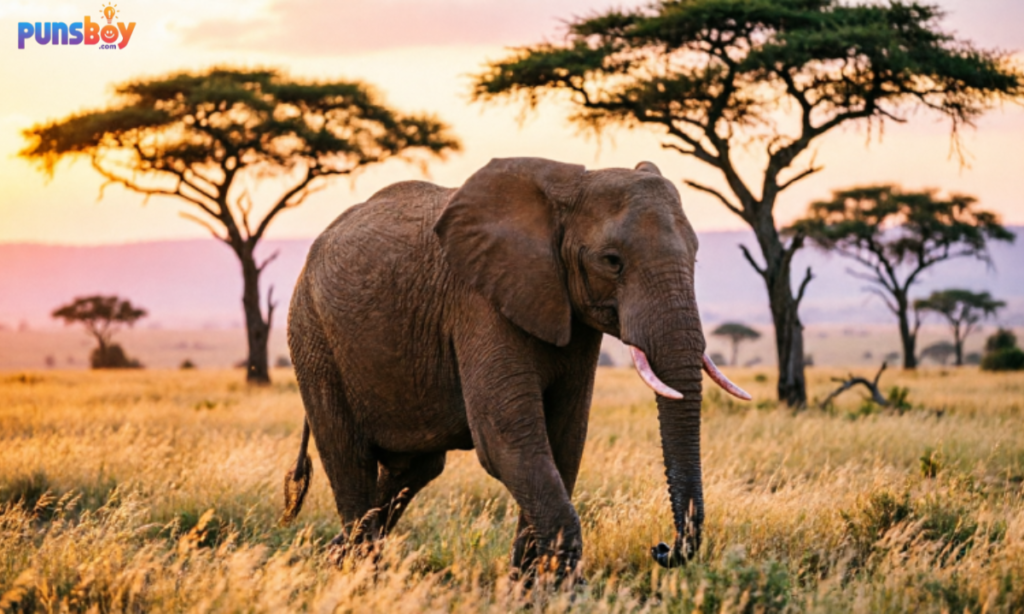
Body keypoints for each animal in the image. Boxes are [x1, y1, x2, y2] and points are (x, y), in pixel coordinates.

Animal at [281, 157, 750, 576]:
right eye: (612, 261)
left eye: (695, 256)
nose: (662, 548)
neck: (569, 187)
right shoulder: (478, 302)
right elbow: (508, 439)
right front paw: (559, 594)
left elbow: (564, 438)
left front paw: (528, 589)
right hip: (312, 335)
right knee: (351, 460)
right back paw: (360, 576)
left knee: (414, 469)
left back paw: (333, 559)